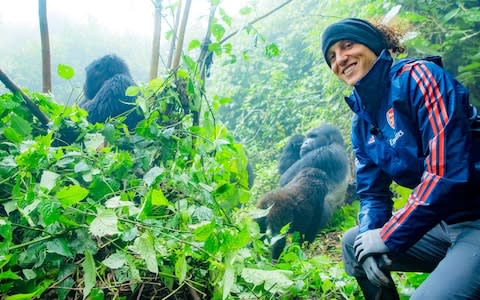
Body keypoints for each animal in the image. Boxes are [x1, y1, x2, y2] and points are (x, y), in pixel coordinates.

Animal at [256, 123, 350, 260]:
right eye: (307, 137)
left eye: (313, 136)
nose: (305, 142)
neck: (336, 143)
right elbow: (285, 172)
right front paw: (295, 141)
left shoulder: (324, 152)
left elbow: (284, 179)